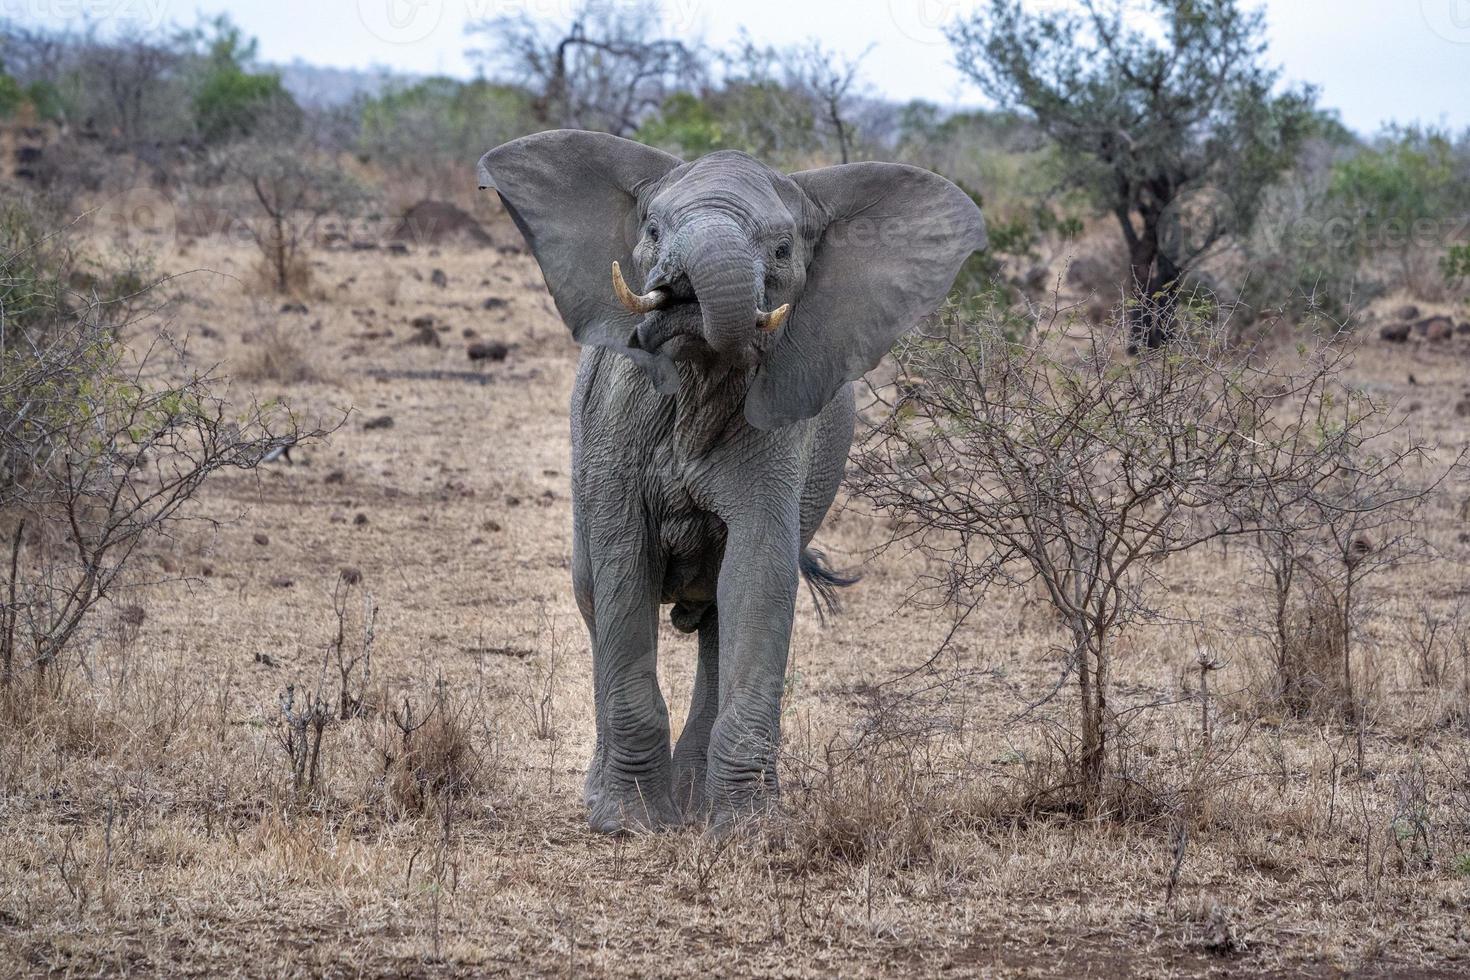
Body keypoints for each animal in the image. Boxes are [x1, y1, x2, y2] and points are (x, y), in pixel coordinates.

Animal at [482, 130, 987, 834]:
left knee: (719, 617)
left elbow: (757, 575)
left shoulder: (780, 435)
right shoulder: (615, 423)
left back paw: (696, 802)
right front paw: (630, 824)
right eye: (653, 229)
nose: (685, 295)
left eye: (781, 250)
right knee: (592, 594)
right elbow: (623, 571)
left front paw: (748, 830)